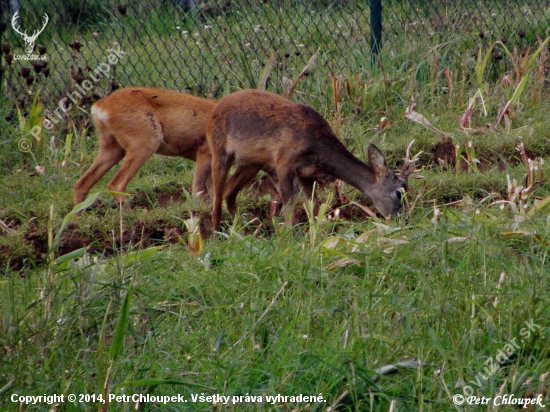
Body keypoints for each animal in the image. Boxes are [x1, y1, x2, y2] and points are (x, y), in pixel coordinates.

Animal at [73, 86, 218, 206]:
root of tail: (101, 106)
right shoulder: (205, 150)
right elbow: (198, 190)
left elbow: (213, 193)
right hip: (145, 142)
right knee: (116, 184)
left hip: (112, 146)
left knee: (82, 183)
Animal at [207, 89, 406, 232]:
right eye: (398, 193)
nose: (400, 219)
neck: (316, 144)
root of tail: (215, 108)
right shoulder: (284, 161)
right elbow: (289, 208)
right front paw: (289, 237)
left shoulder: (306, 173)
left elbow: (314, 207)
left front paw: (317, 235)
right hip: (219, 150)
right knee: (216, 199)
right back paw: (216, 237)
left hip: (251, 162)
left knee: (229, 191)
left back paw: (243, 232)